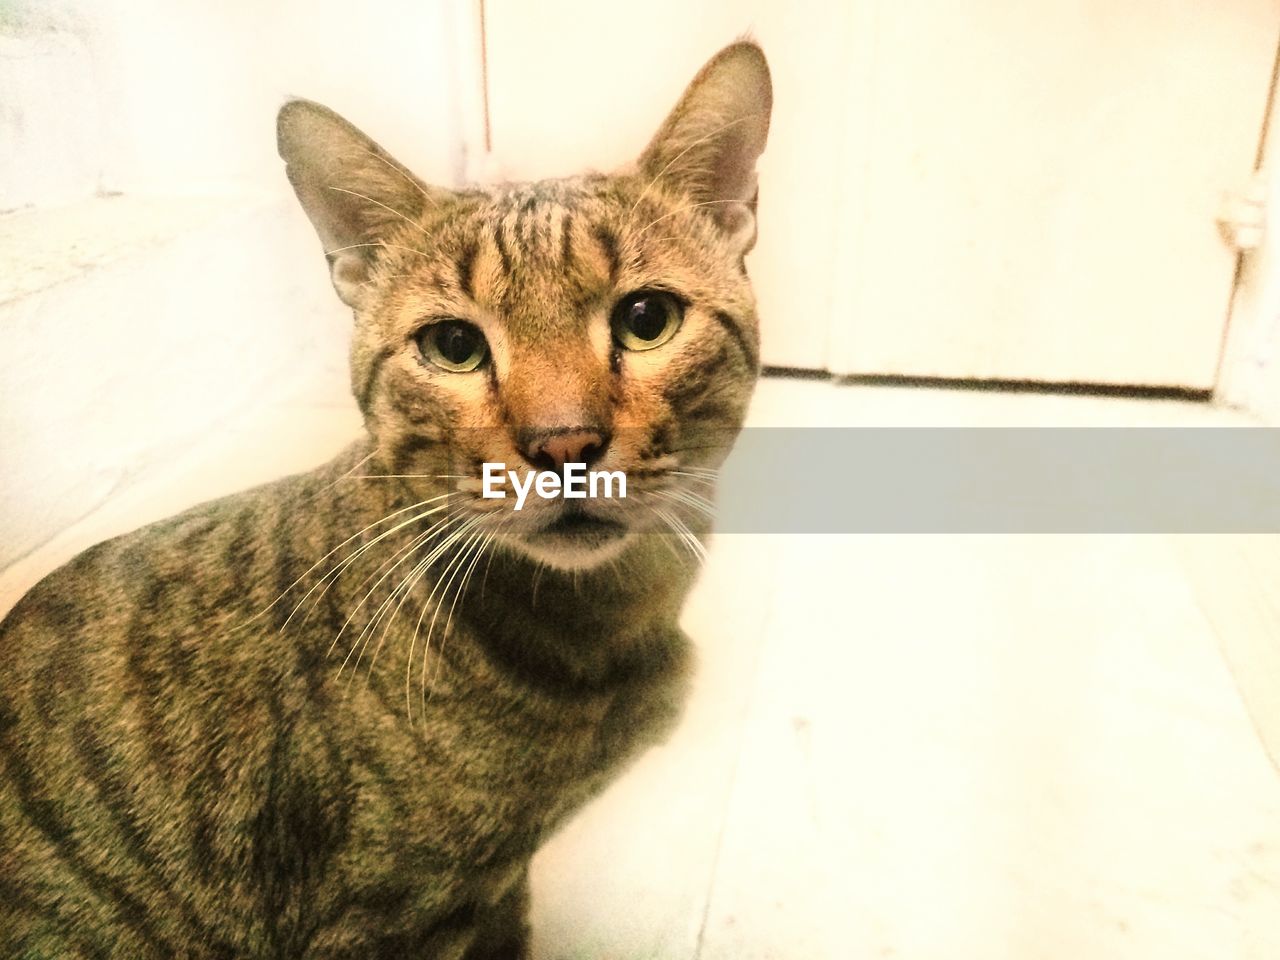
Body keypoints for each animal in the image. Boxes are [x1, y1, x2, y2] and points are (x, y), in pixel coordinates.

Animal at [0, 39, 768, 960]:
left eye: (647, 318)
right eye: (453, 345)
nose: (563, 444)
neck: (597, 622)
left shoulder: (499, 888)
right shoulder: (385, 918)